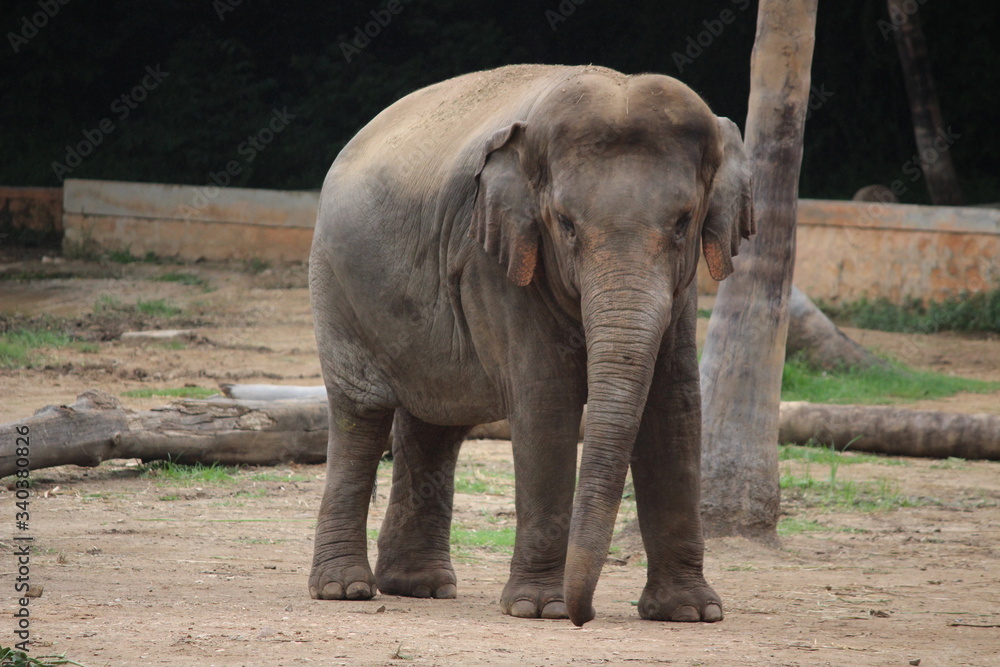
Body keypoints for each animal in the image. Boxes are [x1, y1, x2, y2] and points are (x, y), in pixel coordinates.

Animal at [307, 64, 754, 627]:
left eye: (682, 223)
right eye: (564, 224)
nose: (585, 615)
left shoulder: (684, 284)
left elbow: (674, 404)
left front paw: (690, 613)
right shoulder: (491, 257)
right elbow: (545, 399)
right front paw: (540, 608)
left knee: (435, 423)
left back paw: (420, 587)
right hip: (335, 284)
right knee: (360, 417)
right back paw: (345, 589)